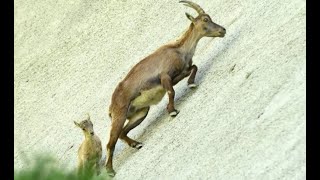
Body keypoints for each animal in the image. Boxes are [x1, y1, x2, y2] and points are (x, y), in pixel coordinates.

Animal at [105, 1, 225, 176]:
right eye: (205, 19)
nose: (222, 30)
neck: (178, 49)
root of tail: (111, 106)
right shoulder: (165, 77)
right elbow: (171, 91)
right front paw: (172, 111)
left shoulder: (179, 73)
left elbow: (194, 67)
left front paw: (191, 83)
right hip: (119, 116)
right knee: (110, 142)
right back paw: (110, 170)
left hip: (140, 112)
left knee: (122, 133)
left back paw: (137, 144)